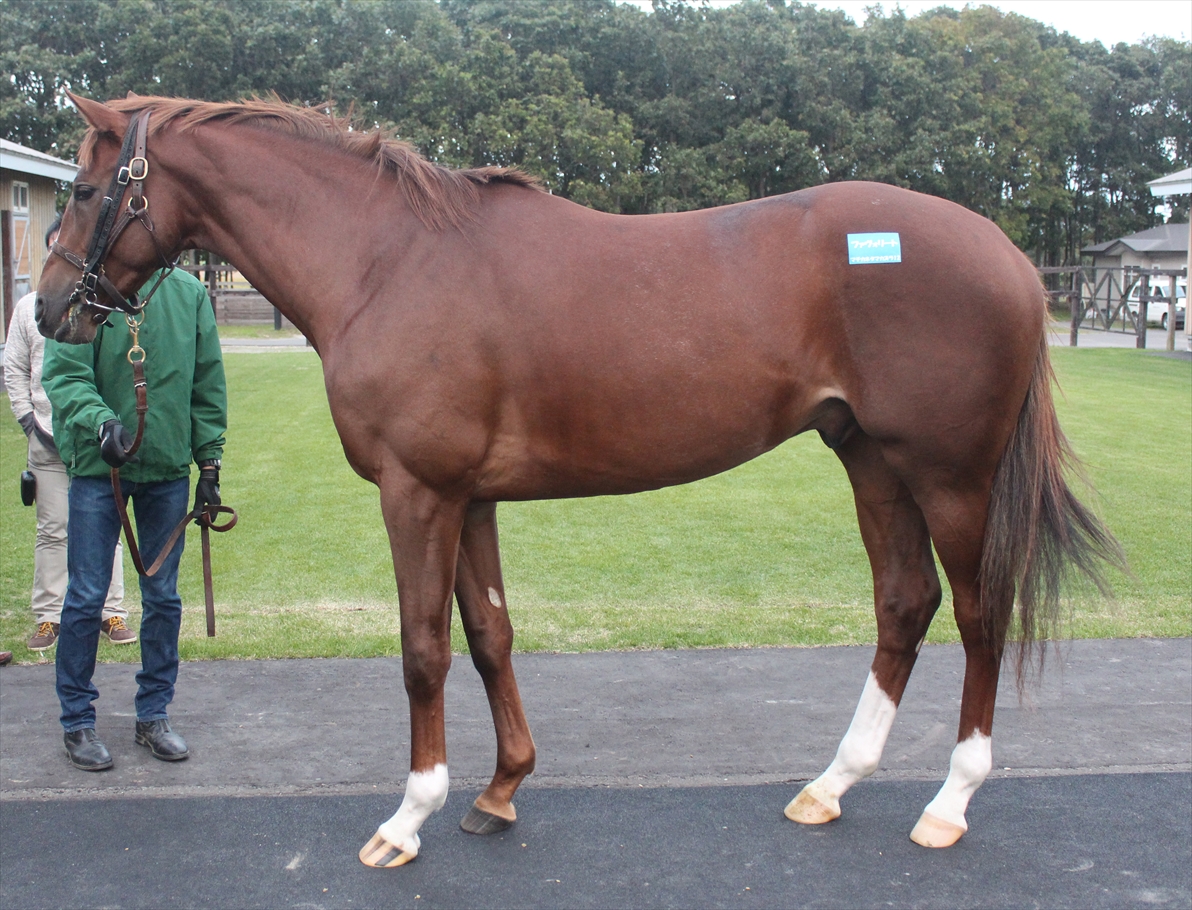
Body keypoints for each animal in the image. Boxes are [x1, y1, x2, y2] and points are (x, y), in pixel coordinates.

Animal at [36, 94, 1121, 865]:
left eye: (86, 191)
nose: (50, 310)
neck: (387, 259)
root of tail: (1010, 257)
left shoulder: (416, 493)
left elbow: (423, 649)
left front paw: (410, 814)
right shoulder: (468, 497)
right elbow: (489, 636)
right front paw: (499, 790)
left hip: (949, 476)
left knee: (979, 615)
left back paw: (948, 803)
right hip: (869, 460)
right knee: (905, 603)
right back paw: (831, 784)